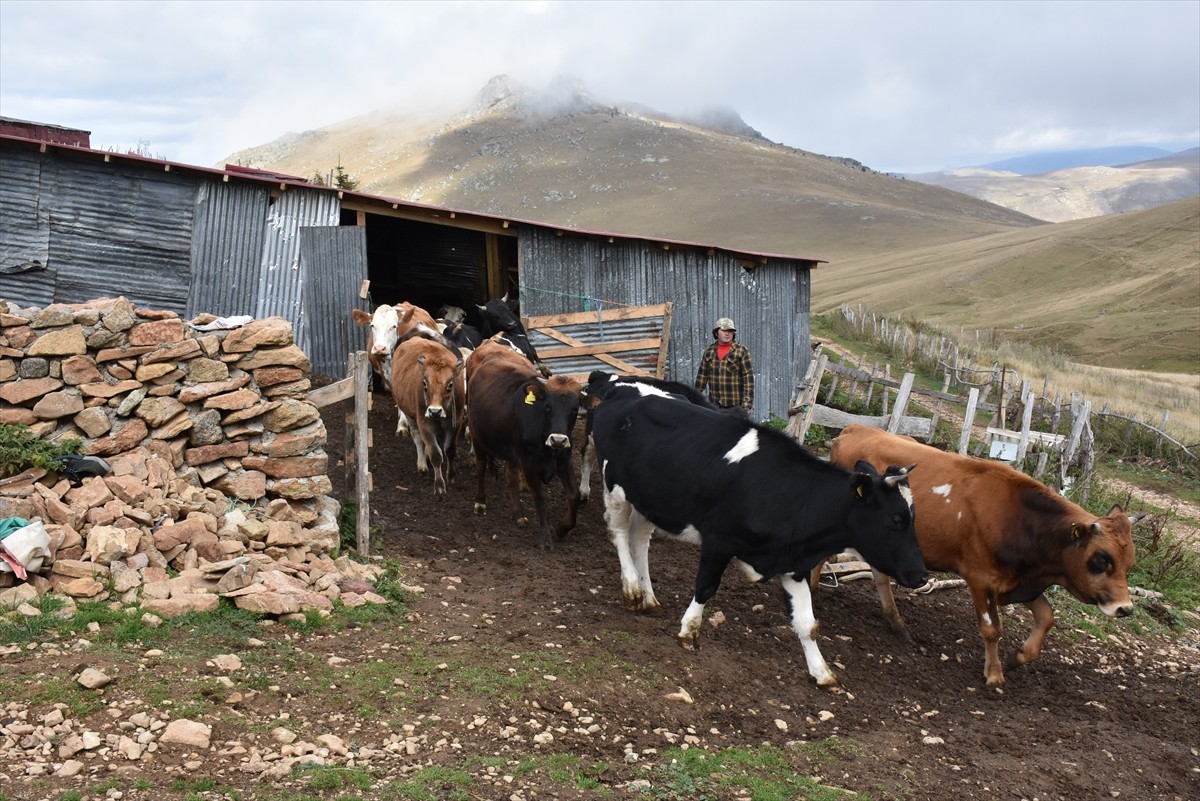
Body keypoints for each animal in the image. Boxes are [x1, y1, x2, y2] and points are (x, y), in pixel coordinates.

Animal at [393, 333, 468, 494]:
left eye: (450, 384)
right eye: (424, 383)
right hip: (410, 415)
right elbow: (435, 453)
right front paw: (439, 486)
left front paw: (451, 476)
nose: (434, 410)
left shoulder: (455, 422)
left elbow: (449, 449)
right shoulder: (424, 422)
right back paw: (422, 463)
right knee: (417, 437)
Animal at [465, 357, 583, 551]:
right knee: (481, 466)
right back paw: (480, 502)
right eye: (548, 406)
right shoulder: (528, 465)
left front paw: (562, 528)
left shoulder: (564, 461)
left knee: (511, 476)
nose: (558, 440)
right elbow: (540, 498)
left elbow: (574, 495)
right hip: (477, 435)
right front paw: (545, 538)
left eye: (574, 409)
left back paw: (517, 513)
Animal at [592, 390, 926, 685]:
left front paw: (822, 672)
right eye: (897, 519)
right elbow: (706, 587)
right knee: (619, 534)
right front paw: (689, 631)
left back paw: (649, 597)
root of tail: (624, 395)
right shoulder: (719, 541)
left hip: (648, 500)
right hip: (616, 488)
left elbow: (807, 624)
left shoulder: (794, 565)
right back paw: (632, 589)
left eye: (913, 517)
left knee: (639, 540)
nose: (921, 575)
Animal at [825, 422, 1142, 685]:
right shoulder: (980, 579)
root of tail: (853, 429)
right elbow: (992, 629)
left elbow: (1047, 617)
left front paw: (1018, 657)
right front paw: (994, 673)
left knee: (879, 573)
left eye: (1130, 563)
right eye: (1101, 560)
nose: (1125, 608)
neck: (1019, 519)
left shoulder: (1020, 582)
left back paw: (896, 622)